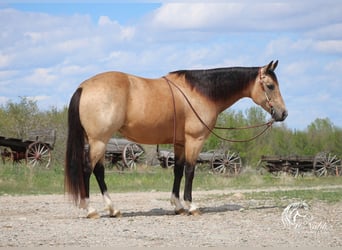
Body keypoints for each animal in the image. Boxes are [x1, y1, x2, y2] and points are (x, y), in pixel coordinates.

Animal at [65, 60, 288, 217]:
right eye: (270, 85)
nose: (283, 114)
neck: (202, 92)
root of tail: (84, 87)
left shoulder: (180, 143)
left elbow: (178, 171)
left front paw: (178, 205)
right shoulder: (194, 140)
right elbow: (190, 171)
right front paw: (191, 205)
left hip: (98, 142)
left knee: (99, 171)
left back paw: (113, 209)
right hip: (99, 141)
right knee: (88, 169)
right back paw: (90, 209)